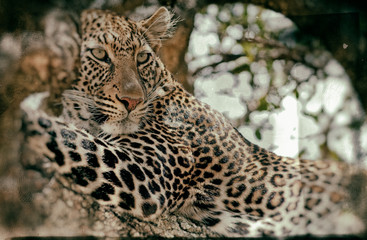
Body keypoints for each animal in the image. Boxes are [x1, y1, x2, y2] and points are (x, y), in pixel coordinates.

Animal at [20, 6, 367, 237]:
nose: (132, 101)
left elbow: (72, 138)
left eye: (142, 58)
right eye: (99, 55)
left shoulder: (144, 175)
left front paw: (26, 120)